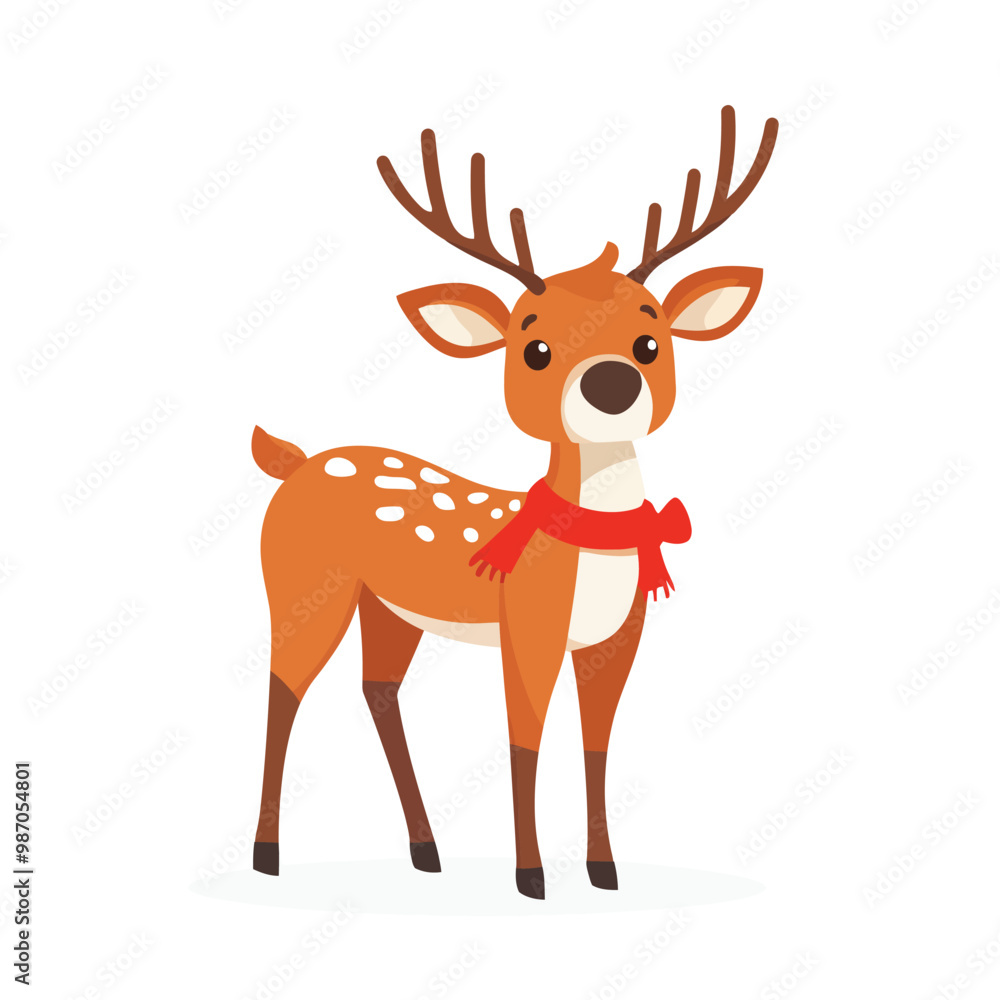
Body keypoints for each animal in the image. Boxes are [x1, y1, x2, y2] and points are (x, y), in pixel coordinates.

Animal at [250, 106, 778, 899]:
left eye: (651, 338)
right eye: (534, 350)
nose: (612, 382)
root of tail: (292, 462)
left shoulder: (618, 641)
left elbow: (597, 745)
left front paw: (603, 870)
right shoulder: (526, 628)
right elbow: (523, 742)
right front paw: (531, 877)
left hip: (389, 607)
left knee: (378, 689)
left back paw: (427, 850)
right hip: (303, 586)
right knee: (282, 689)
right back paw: (267, 856)